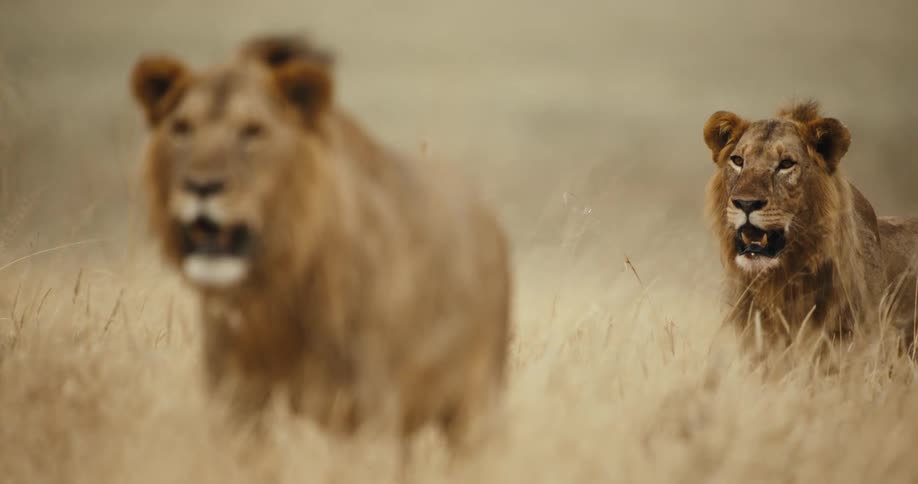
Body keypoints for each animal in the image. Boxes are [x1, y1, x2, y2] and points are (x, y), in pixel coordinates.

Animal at [129, 35, 512, 449]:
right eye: (182, 128)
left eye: (253, 130)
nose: (201, 186)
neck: (272, 293)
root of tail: (489, 213)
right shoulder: (236, 404)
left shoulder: (370, 406)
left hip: (473, 406)